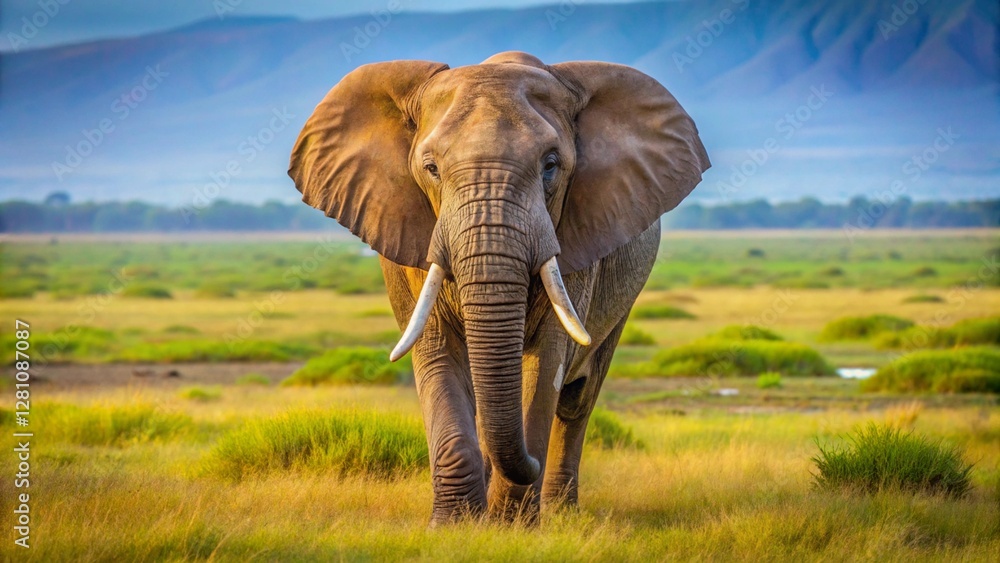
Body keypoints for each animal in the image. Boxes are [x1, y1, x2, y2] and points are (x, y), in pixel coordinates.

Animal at [288, 51, 709, 525]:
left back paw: (560, 512)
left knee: (578, 400)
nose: (529, 464)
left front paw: (511, 526)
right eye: (431, 169)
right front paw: (454, 525)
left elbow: (546, 362)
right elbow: (436, 353)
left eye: (550, 165)